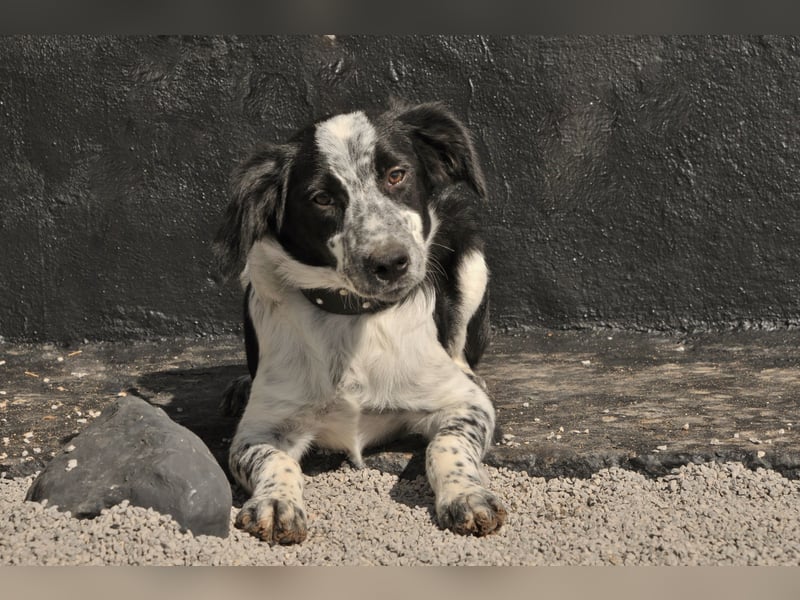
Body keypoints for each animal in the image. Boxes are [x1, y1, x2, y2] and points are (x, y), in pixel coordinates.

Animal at [212, 99, 506, 544]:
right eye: (321, 198)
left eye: (396, 174)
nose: (390, 262)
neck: (353, 318)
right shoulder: (257, 430)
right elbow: (277, 461)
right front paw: (277, 502)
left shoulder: (465, 405)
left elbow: (445, 448)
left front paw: (466, 494)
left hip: (471, 258)